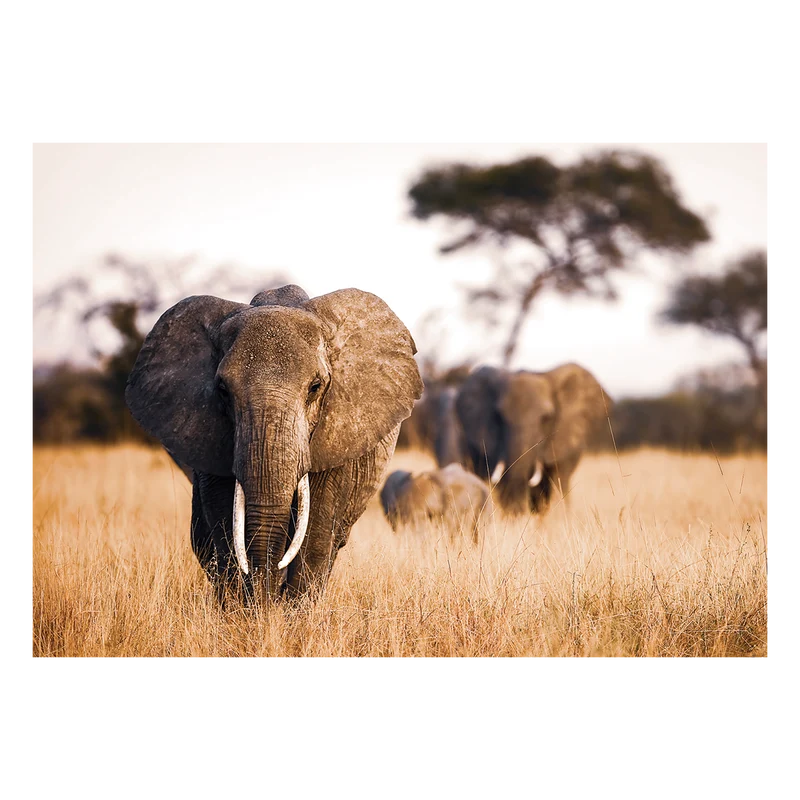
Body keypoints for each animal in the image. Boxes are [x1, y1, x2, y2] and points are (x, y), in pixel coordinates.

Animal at [125, 284, 423, 604]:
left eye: (315, 387)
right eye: (222, 390)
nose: (267, 601)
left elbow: (317, 527)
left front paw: (293, 611)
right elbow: (223, 519)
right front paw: (243, 609)